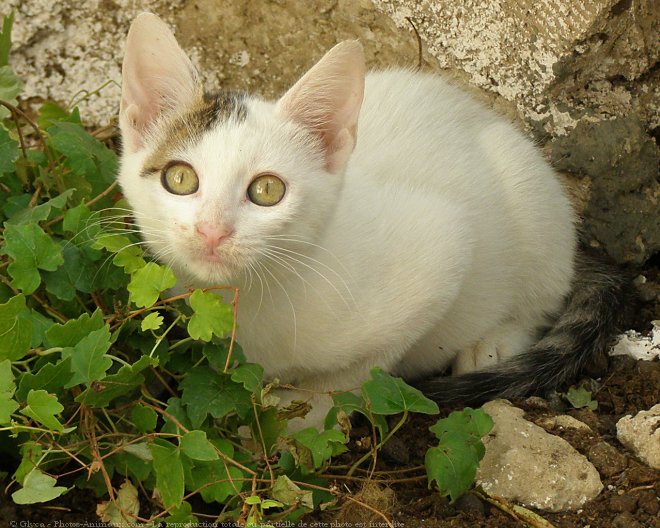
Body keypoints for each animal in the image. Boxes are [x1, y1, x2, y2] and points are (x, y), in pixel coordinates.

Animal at [118, 14, 628, 428]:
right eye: (180, 178)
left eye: (267, 191)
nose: (212, 230)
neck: (255, 297)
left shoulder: (441, 250)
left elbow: (354, 376)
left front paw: (298, 419)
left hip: (533, 208)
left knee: (541, 301)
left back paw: (493, 344)